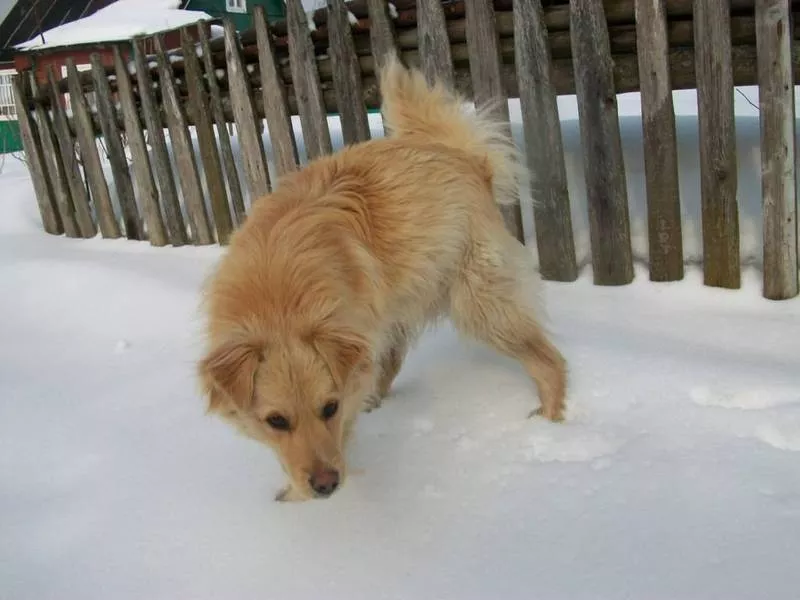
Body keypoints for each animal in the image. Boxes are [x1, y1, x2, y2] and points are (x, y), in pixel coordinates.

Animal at [197, 54, 564, 502]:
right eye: (276, 421)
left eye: (329, 408)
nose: (326, 486)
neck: (278, 298)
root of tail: (467, 159)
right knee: (391, 359)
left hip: (481, 304)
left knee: (549, 360)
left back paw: (552, 423)